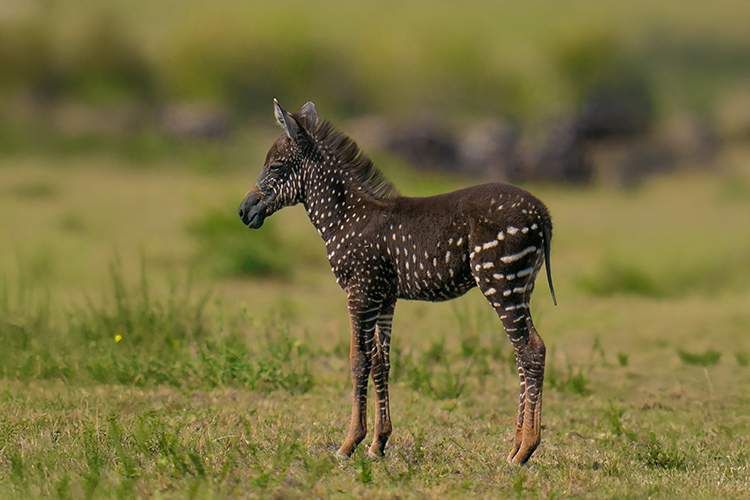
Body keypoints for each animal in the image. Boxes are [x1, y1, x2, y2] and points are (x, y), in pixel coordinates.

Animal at [239, 100, 557, 464]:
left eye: (275, 167)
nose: (243, 211)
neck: (346, 217)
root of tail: (542, 212)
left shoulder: (360, 291)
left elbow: (358, 360)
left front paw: (349, 443)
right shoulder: (384, 296)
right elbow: (381, 362)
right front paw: (378, 443)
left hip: (501, 283)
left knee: (530, 350)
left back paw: (525, 449)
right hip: (521, 286)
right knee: (525, 352)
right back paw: (516, 445)